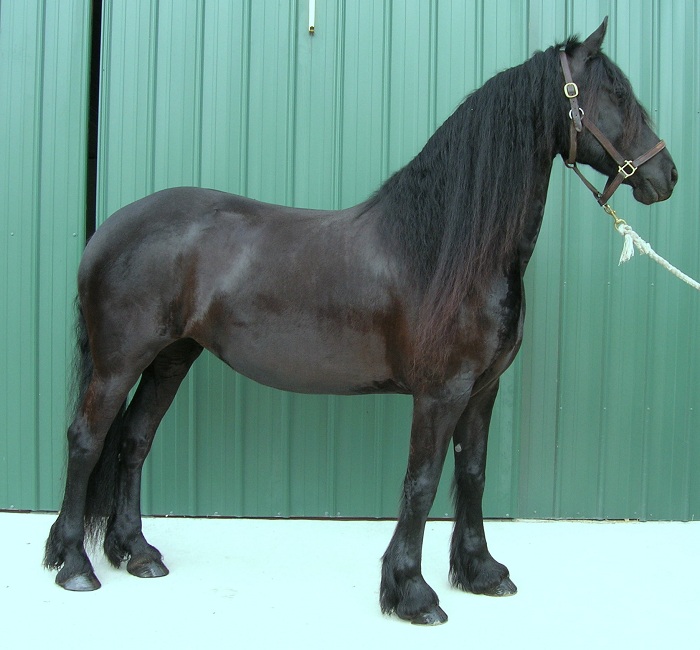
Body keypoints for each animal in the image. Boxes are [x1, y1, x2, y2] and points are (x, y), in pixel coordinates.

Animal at [45, 18, 677, 625]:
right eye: (615, 94)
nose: (666, 175)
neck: (445, 249)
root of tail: (107, 230)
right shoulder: (441, 394)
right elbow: (421, 484)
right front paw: (413, 594)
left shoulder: (483, 390)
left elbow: (471, 475)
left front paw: (480, 572)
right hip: (119, 362)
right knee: (87, 440)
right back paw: (74, 564)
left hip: (170, 357)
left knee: (134, 440)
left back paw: (137, 553)